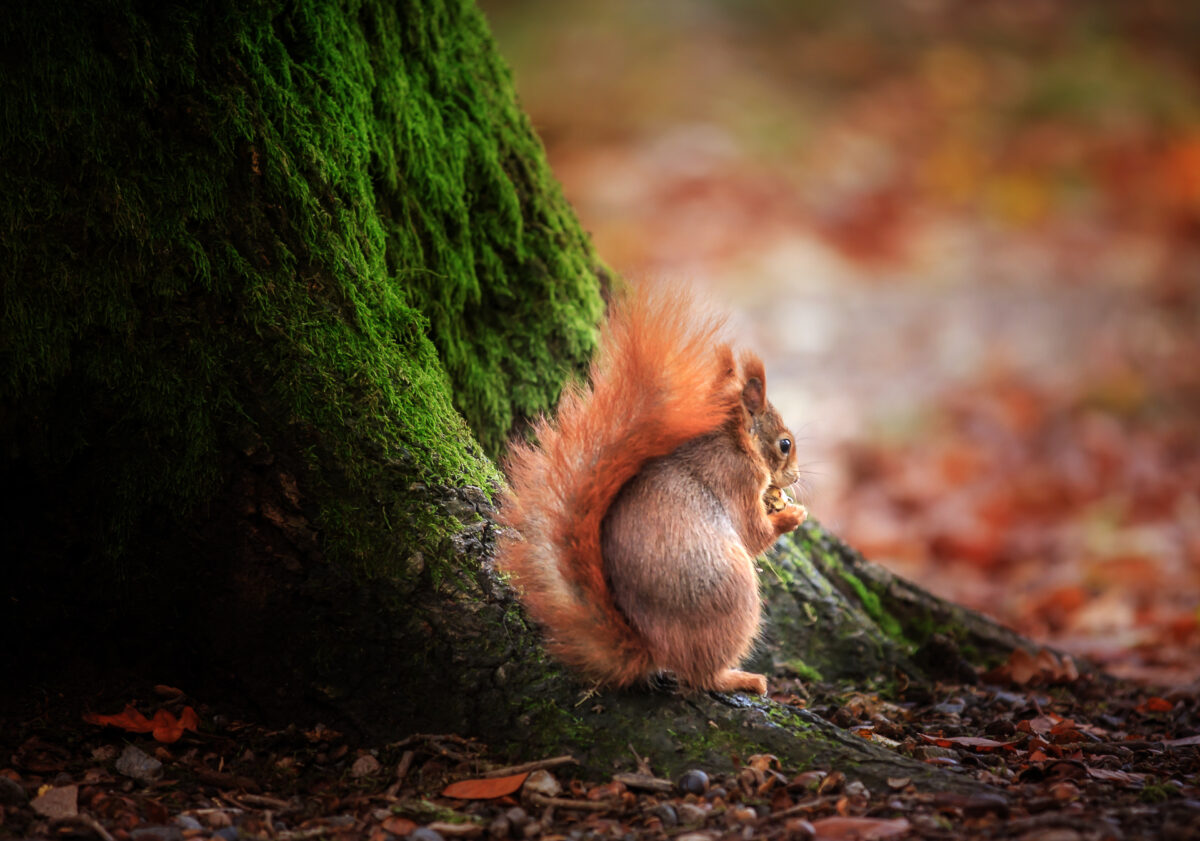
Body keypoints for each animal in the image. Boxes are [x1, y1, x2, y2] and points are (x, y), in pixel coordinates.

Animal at [496, 285, 806, 691]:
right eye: (785, 444)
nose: (796, 479)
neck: (736, 443)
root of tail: (651, 648)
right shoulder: (738, 479)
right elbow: (755, 534)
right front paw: (792, 515)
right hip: (732, 597)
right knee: (701, 676)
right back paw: (738, 679)